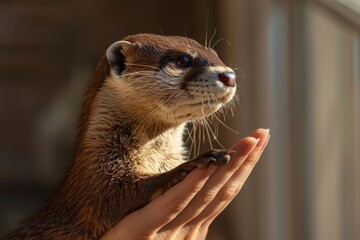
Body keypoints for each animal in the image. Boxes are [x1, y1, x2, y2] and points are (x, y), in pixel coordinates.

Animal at [4, 32, 239, 239]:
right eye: (183, 60)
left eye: (216, 54)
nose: (229, 75)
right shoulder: (96, 183)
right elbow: (119, 195)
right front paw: (200, 159)